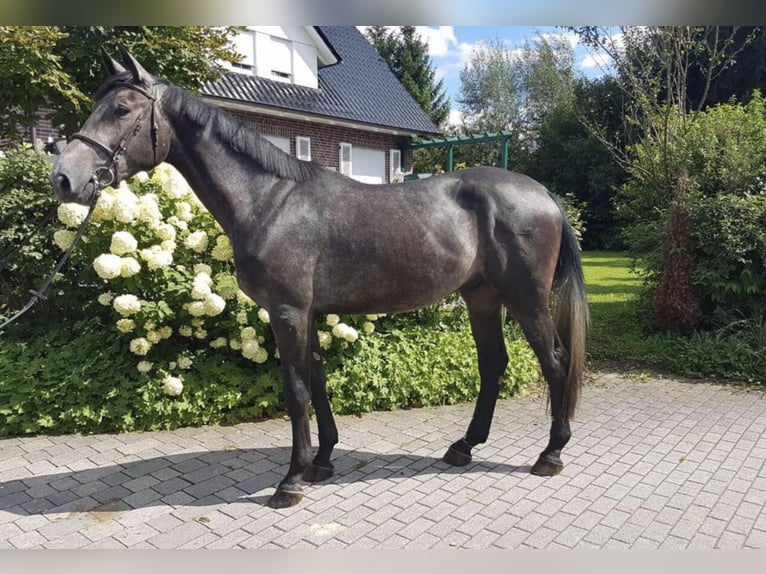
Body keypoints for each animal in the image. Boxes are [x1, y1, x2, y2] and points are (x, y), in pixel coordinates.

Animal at [50, 47, 589, 509]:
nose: (65, 179)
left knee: (556, 361)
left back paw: (550, 454)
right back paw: (464, 446)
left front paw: (290, 480)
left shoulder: (287, 311)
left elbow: (296, 390)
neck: (270, 200)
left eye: (121, 109)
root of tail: (544, 195)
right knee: (494, 363)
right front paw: (321, 460)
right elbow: (317, 378)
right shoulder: (305, 313)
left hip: (526, 300)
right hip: (482, 298)